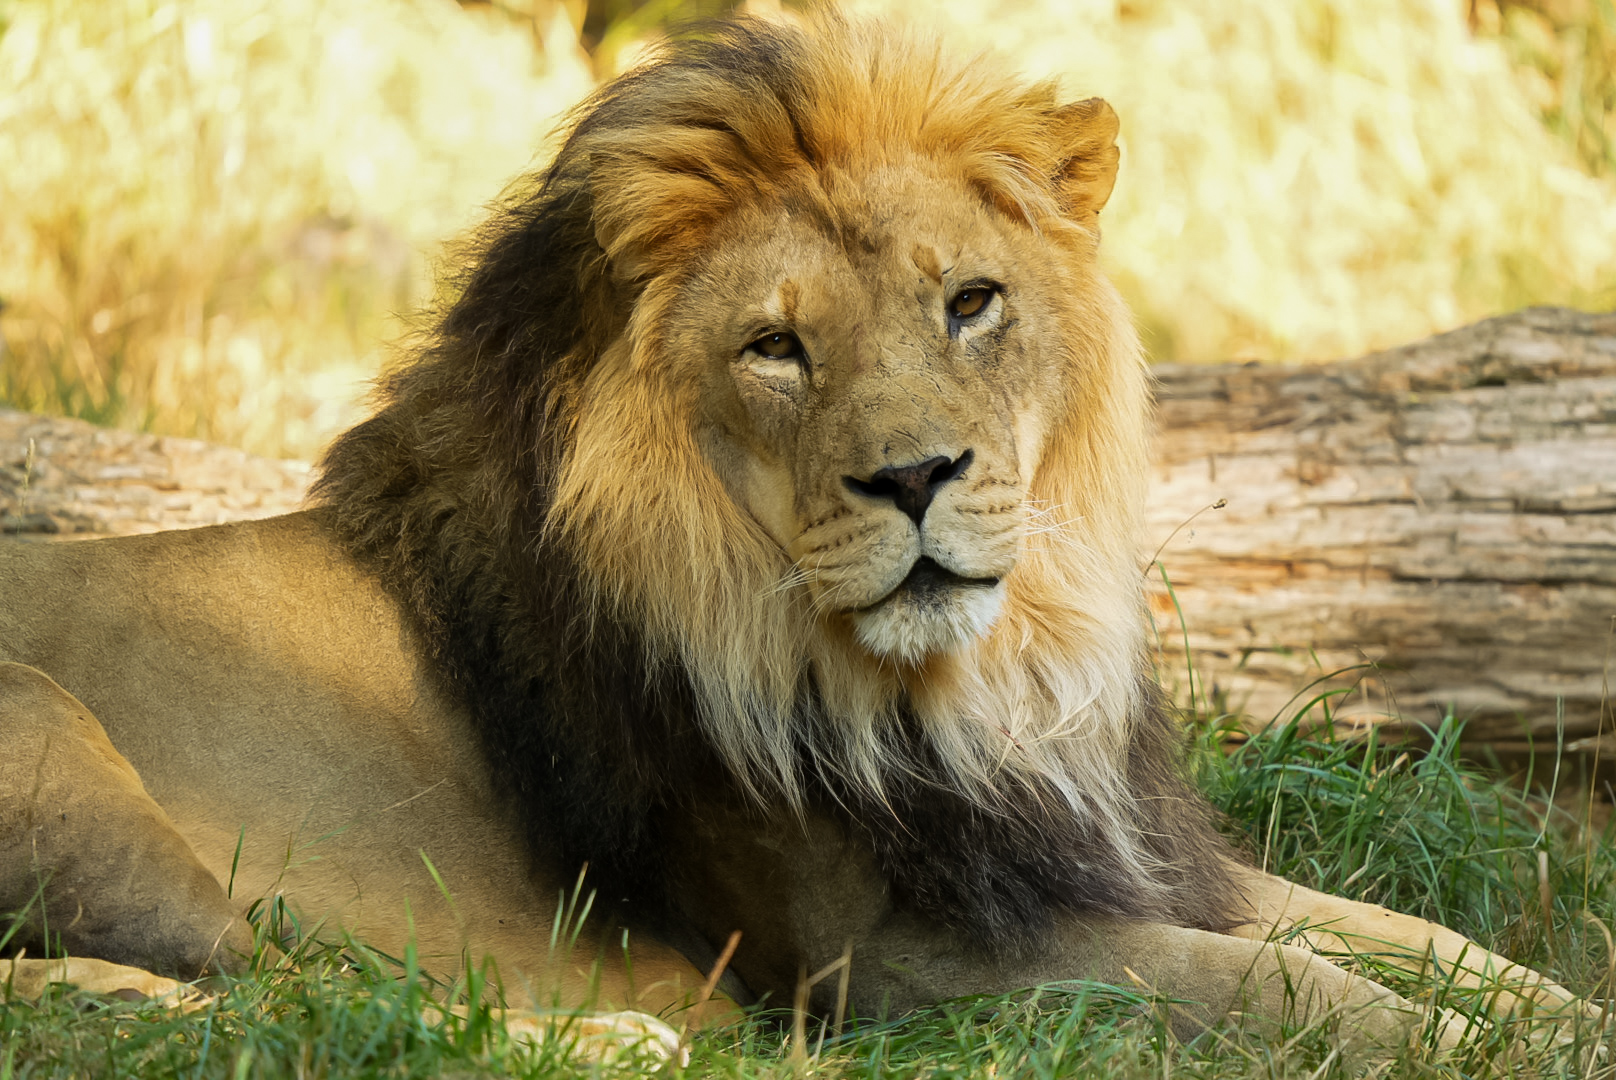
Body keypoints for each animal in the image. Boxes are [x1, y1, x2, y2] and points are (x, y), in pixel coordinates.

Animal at [0, 12, 1591, 1061]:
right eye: (776, 348)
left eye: (971, 303)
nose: (916, 477)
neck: (985, 679)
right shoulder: (891, 961)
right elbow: (1291, 990)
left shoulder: (1092, 851)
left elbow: (1420, 941)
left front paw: (1561, 1009)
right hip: (66, 751)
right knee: (272, 1000)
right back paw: (612, 1042)